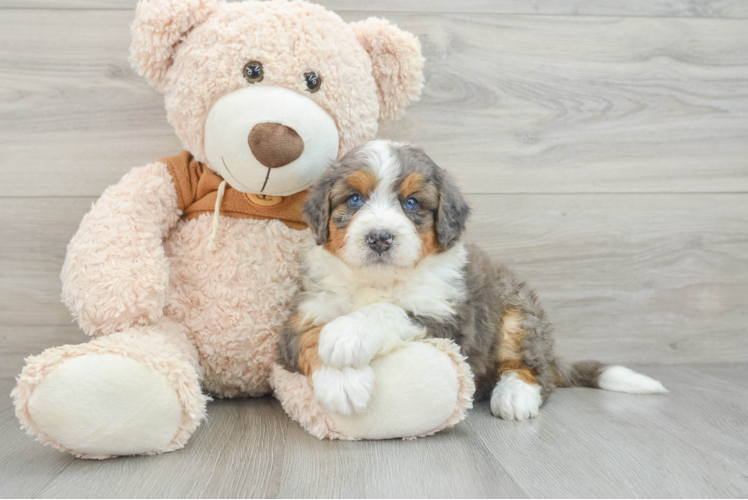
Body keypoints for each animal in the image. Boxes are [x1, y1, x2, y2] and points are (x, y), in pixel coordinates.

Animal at [276, 139, 668, 420]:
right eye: (354, 199)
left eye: (412, 203)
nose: (380, 238)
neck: (379, 281)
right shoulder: (305, 314)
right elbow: (310, 338)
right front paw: (341, 382)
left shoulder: (449, 320)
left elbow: (388, 312)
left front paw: (348, 334)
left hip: (518, 312)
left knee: (534, 370)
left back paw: (514, 395)